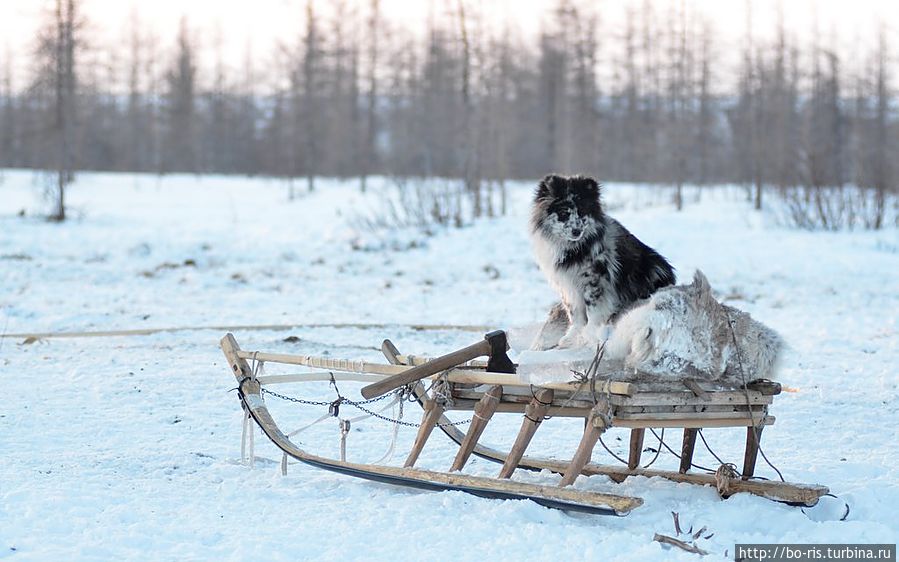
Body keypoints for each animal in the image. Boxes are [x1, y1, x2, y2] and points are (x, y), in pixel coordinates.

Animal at [528, 173, 676, 348]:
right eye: (564, 212)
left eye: (582, 212)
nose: (576, 231)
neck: (573, 249)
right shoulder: (567, 286)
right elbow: (575, 313)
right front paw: (572, 336)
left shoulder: (594, 279)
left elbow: (593, 310)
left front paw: (589, 334)